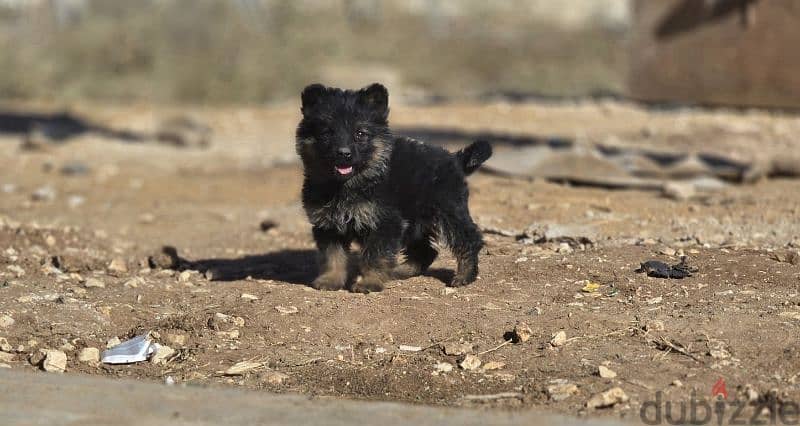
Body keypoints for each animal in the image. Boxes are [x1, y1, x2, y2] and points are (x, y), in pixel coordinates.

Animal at [296, 82, 490, 292]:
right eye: (326, 133)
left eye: (360, 134)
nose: (343, 153)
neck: (347, 185)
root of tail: (455, 159)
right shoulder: (328, 225)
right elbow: (333, 256)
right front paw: (330, 280)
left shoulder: (384, 223)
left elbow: (374, 255)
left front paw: (369, 282)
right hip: (415, 222)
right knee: (425, 251)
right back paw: (401, 271)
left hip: (449, 211)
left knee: (469, 239)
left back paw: (464, 275)